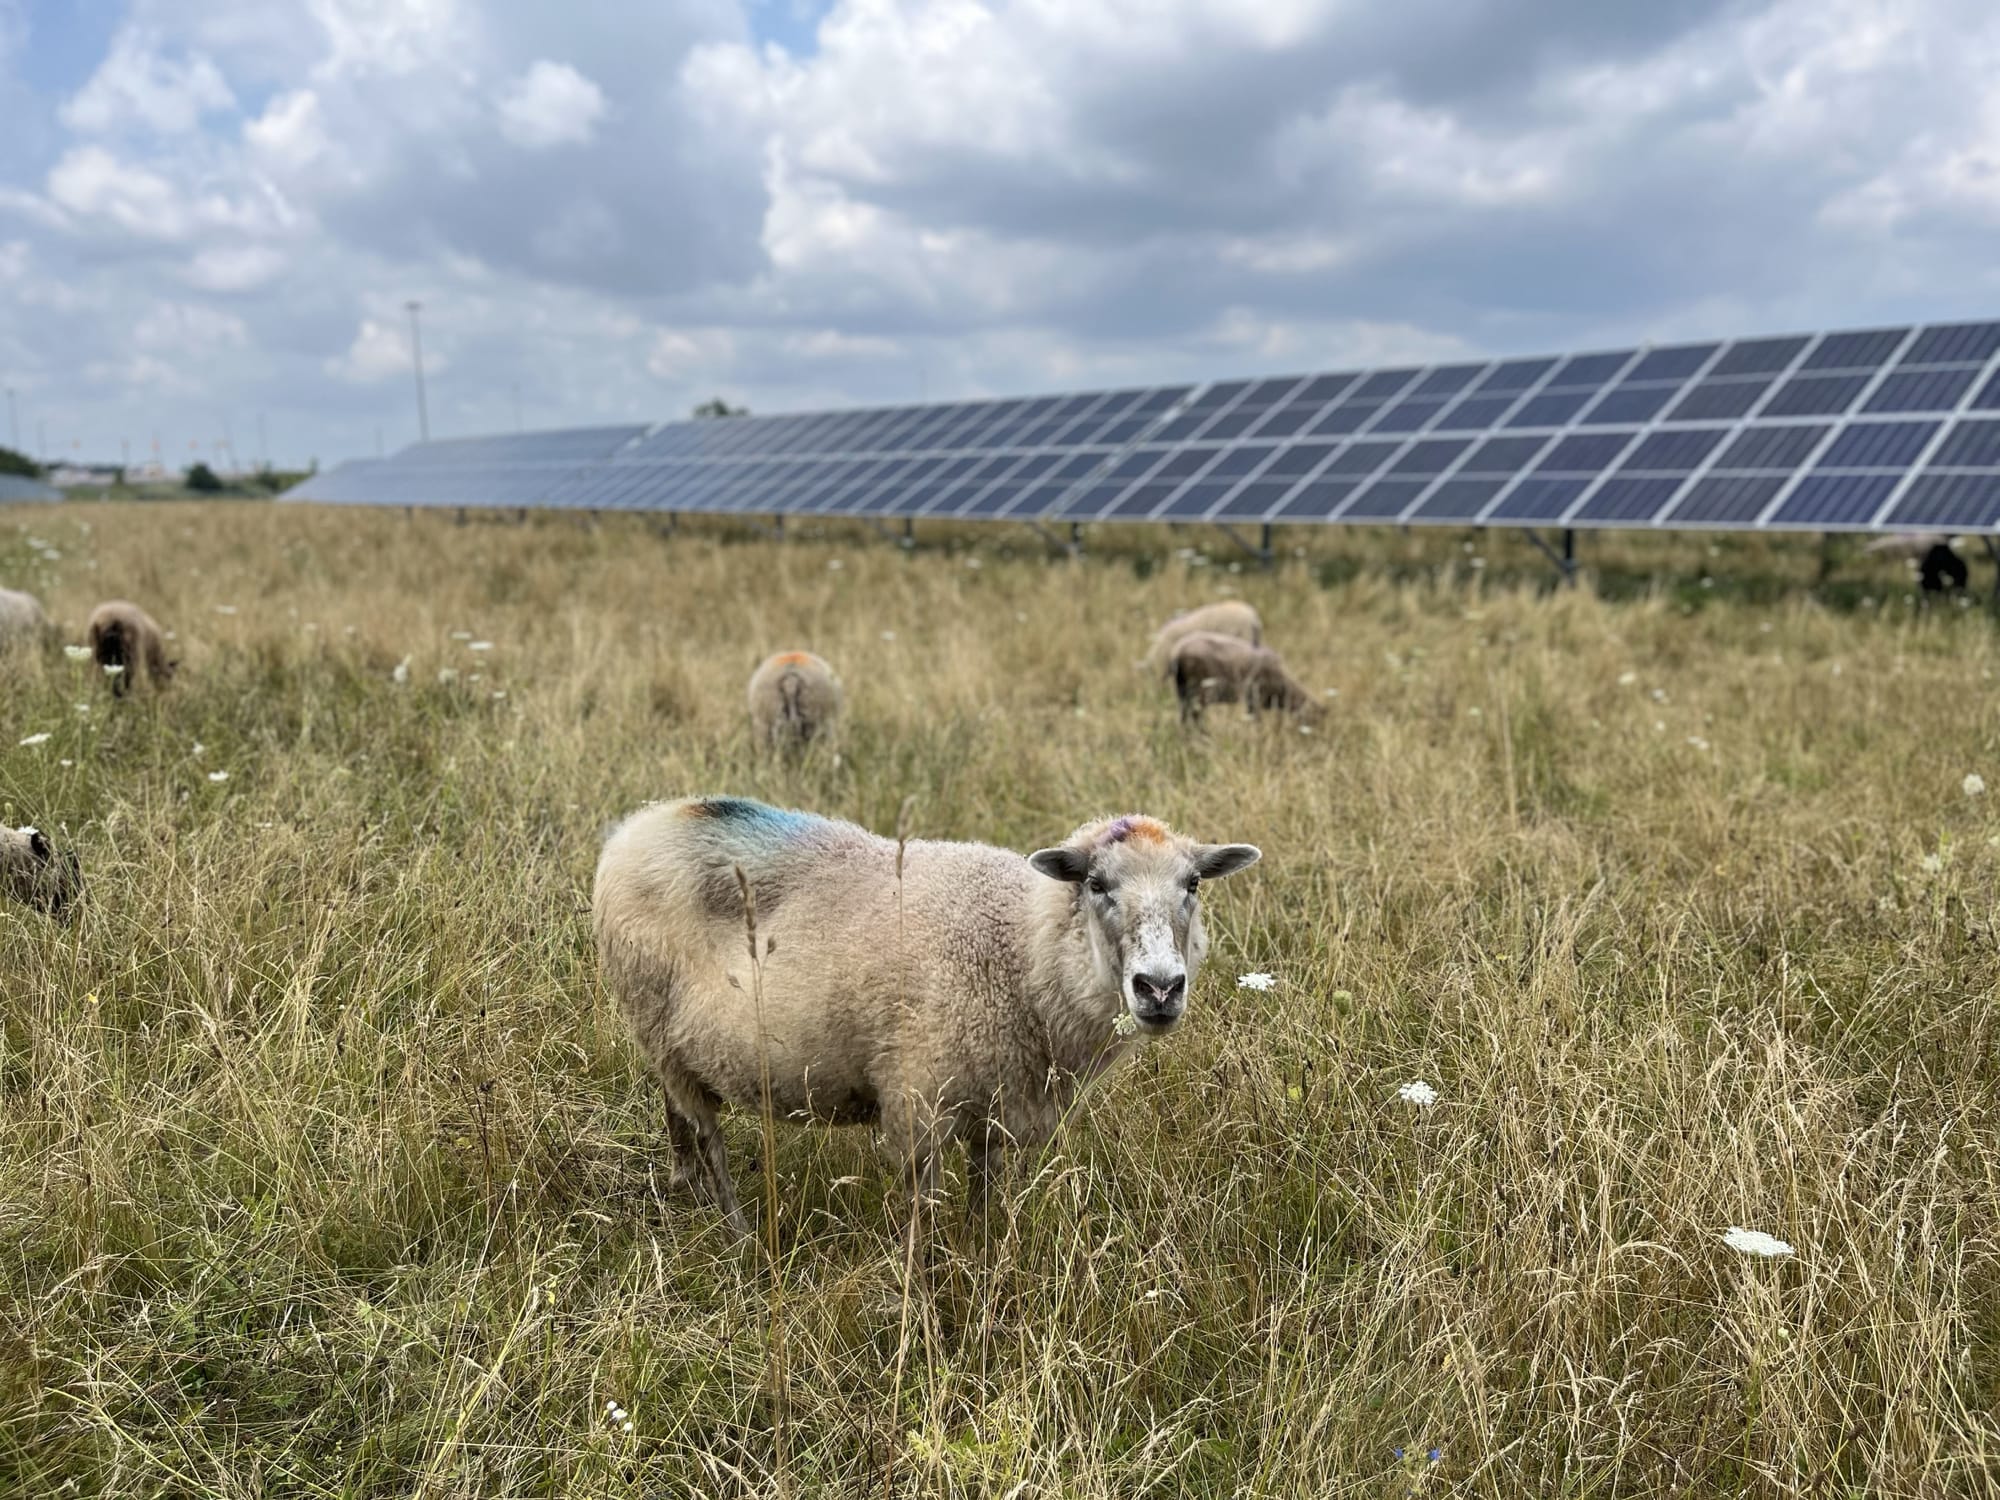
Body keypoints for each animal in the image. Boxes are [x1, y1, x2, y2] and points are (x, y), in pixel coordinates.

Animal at [584, 800, 1264, 1232]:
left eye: (1193, 885)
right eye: (1096, 884)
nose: (1160, 988)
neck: (1020, 947)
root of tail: (641, 823)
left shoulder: (999, 1111)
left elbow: (985, 1210)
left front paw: (987, 1276)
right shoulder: (917, 1102)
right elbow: (923, 1230)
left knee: (678, 1120)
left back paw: (685, 1192)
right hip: (657, 1025)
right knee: (708, 1138)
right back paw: (737, 1234)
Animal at [1168, 632, 1320, 724]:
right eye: (1316, 721)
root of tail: (1177, 654)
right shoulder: (1255, 698)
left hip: (1183, 692)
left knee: (1184, 719)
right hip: (1200, 692)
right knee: (1195, 718)